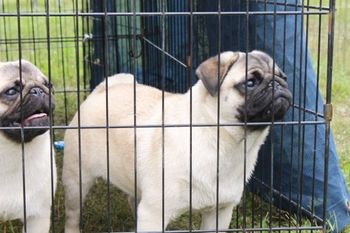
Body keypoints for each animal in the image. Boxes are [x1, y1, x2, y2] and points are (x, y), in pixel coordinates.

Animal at [63, 51, 292, 233]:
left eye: (284, 77)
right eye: (250, 83)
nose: (278, 84)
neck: (224, 142)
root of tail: (103, 90)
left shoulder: (219, 212)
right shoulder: (154, 213)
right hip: (77, 181)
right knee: (72, 215)